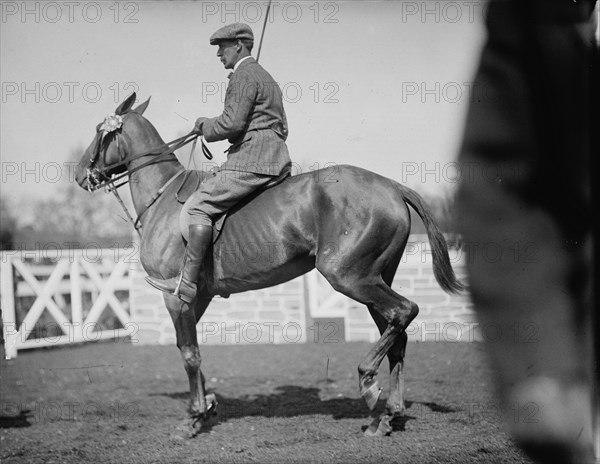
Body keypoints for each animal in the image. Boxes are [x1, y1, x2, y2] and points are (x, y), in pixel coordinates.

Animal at [75, 92, 466, 436]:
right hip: (375, 278)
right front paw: (207, 405)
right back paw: (388, 417)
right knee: (397, 334)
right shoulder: (197, 297)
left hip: (349, 276)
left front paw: (193, 417)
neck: (165, 200)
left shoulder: (175, 295)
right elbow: (192, 349)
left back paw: (368, 382)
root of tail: (391, 186)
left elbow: (188, 353)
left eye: (98, 130)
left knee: (404, 311)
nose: (80, 174)